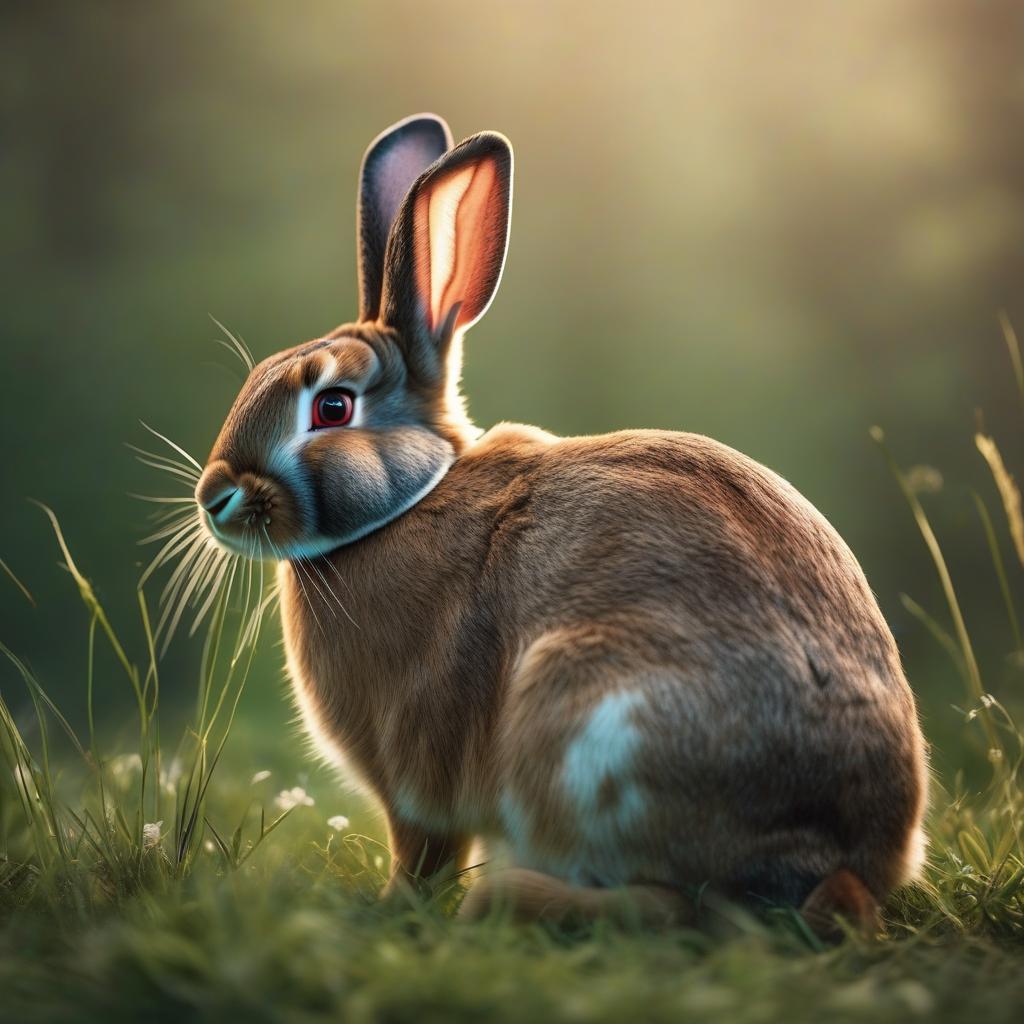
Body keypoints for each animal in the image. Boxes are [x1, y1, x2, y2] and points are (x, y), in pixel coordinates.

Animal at [195, 114, 933, 937]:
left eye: (331, 407)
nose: (213, 497)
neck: (412, 501)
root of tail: (842, 851)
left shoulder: (416, 778)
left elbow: (420, 856)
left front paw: (387, 911)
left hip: (586, 715)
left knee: (684, 909)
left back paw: (508, 900)